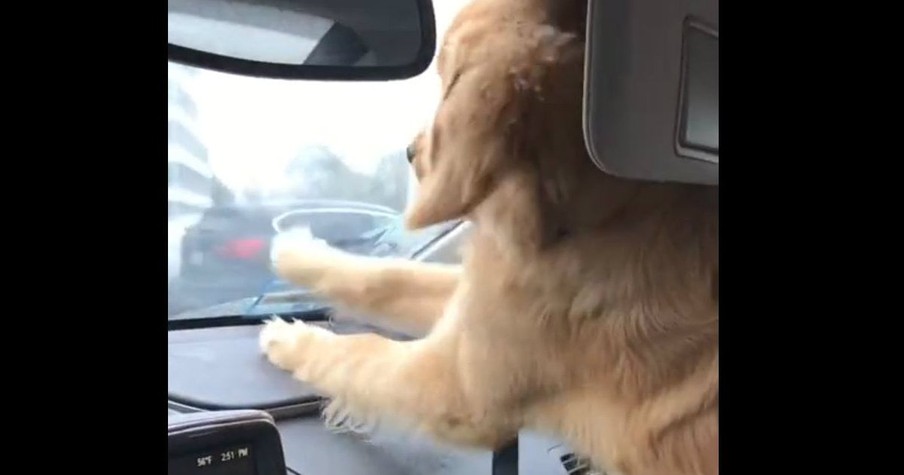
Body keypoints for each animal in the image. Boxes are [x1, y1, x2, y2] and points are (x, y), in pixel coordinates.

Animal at [258, 1, 716, 474]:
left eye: (449, 82)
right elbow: (390, 276)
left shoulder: (455, 386)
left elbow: (360, 354)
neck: (596, 218)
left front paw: (290, 339)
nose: (408, 151)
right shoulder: (480, 303)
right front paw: (297, 254)